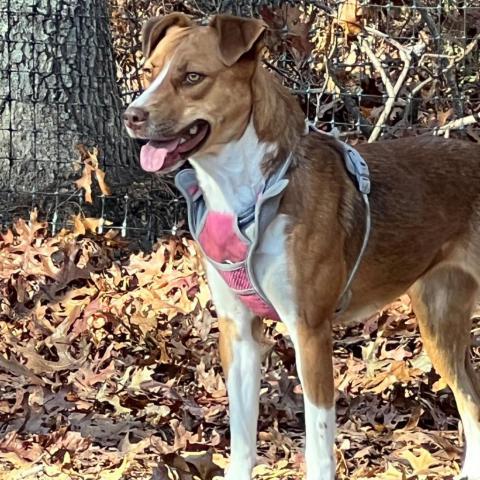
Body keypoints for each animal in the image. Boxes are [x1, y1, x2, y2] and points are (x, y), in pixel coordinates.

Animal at [124, 13, 480, 478]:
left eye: (192, 77)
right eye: (150, 72)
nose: (131, 115)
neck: (250, 195)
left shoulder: (310, 332)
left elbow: (318, 447)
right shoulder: (239, 333)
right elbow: (241, 442)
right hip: (439, 323)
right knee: (472, 403)